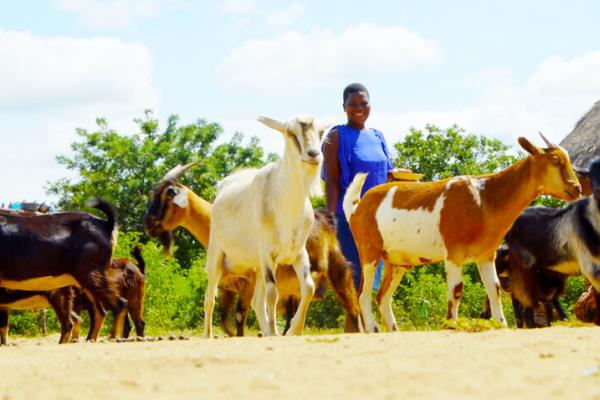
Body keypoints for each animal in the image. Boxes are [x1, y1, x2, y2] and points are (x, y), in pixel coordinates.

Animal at [144, 161, 360, 336]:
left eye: (167, 195)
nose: (148, 224)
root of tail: (327, 220)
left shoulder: (247, 282)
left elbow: (240, 314)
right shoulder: (231, 286)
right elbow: (231, 317)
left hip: (336, 271)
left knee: (352, 306)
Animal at [204, 115, 330, 338]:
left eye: (321, 131)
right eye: (290, 132)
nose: (314, 155)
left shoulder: (297, 252)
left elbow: (308, 287)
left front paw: (293, 331)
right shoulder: (267, 253)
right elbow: (273, 294)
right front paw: (277, 331)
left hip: (257, 265)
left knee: (256, 300)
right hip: (216, 254)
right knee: (210, 297)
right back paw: (208, 335)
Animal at [344, 134, 584, 332]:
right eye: (556, 161)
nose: (577, 188)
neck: (484, 199)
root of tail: (358, 207)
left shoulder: (486, 255)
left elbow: (494, 288)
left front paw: (501, 324)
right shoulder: (453, 253)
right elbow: (456, 290)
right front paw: (451, 325)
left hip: (397, 261)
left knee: (382, 296)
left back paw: (394, 331)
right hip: (369, 252)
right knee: (363, 293)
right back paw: (372, 329)